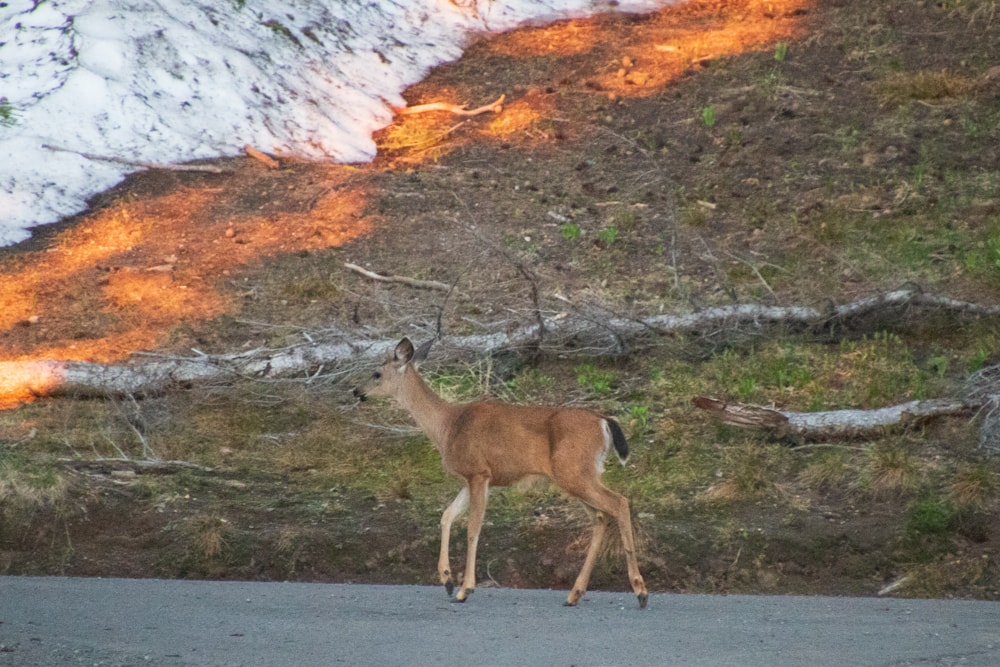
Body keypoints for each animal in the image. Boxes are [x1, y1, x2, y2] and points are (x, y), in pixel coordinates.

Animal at [354, 340, 648, 612]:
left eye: (376, 373)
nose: (356, 391)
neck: (448, 426)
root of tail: (604, 421)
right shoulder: (473, 477)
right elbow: (447, 516)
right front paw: (447, 580)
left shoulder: (478, 472)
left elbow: (472, 528)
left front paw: (464, 589)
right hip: (578, 475)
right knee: (600, 516)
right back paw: (574, 594)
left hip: (575, 471)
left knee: (618, 503)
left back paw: (640, 591)